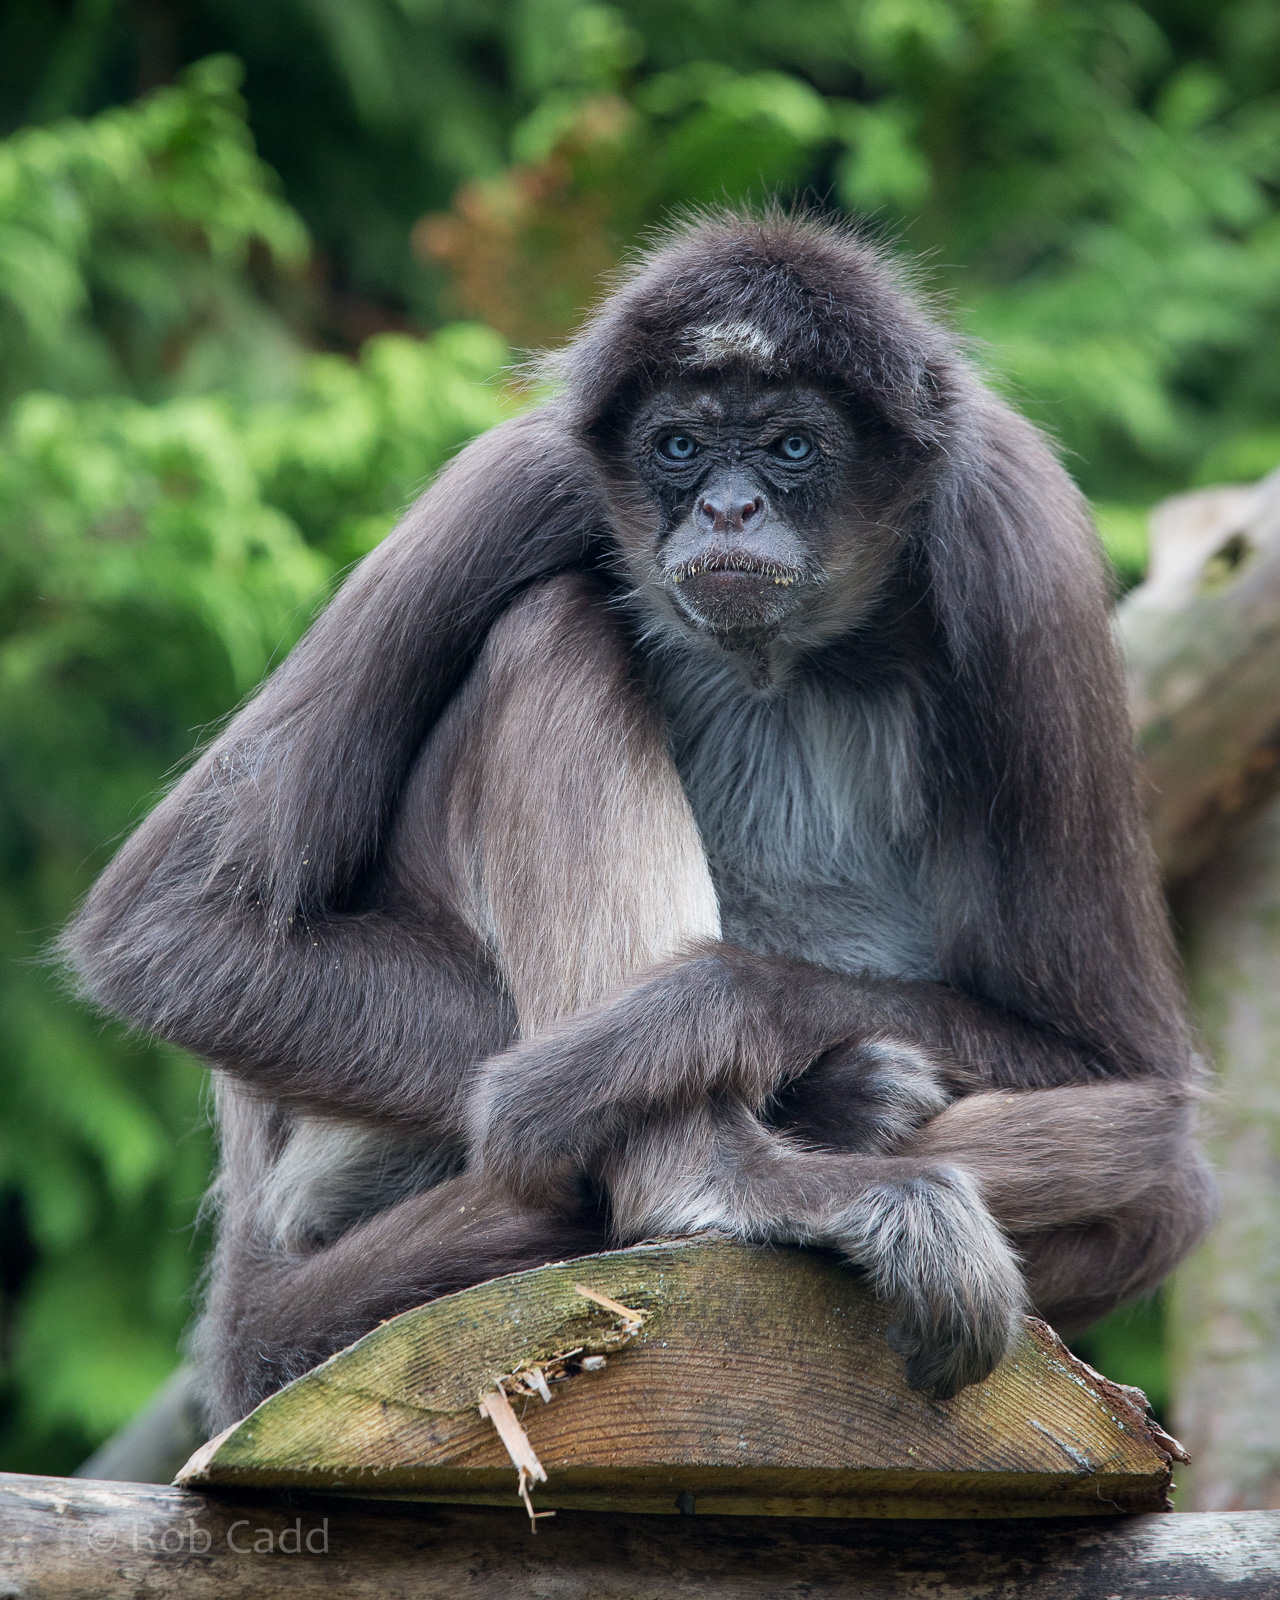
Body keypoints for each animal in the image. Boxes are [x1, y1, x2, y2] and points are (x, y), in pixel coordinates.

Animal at [64, 211, 1216, 1432]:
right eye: (677, 447)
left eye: (790, 448)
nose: (727, 508)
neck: (778, 657)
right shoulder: (521, 478)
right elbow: (175, 936)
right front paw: (795, 1085)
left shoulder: (1013, 537)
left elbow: (1117, 1061)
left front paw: (709, 1012)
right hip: (331, 1167)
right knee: (551, 623)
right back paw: (729, 1177)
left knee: (1165, 1182)